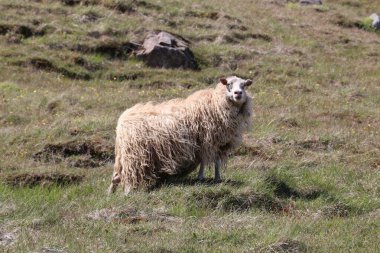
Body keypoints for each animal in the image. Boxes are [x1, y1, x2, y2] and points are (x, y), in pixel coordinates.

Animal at [108, 76, 254, 195]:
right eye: (229, 84)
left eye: (244, 85)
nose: (238, 93)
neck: (215, 104)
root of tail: (122, 120)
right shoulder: (207, 141)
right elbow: (206, 160)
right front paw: (205, 177)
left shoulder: (215, 143)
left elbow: (215, 161)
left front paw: (216, 178)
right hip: (134, 154)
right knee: (129, 174)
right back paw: (127, 192)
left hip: (123, 153)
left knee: (116, 174)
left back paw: (111, 192)